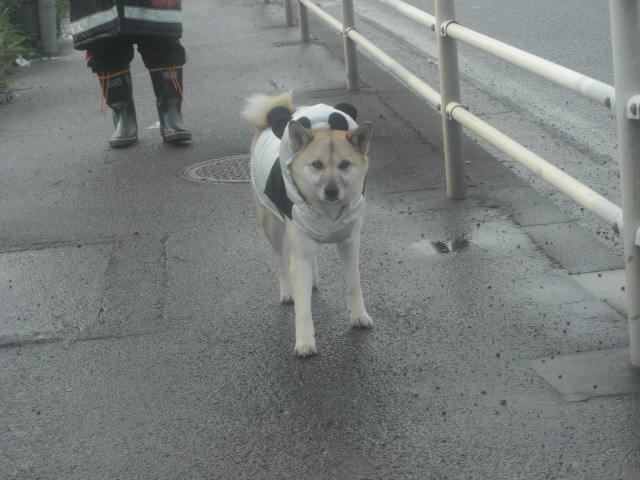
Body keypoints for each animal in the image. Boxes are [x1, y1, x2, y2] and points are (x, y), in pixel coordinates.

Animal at [242, 91, 373, 356]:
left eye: (345, 164)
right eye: (317, 165)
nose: (331, 191)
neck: (328, 213)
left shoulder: (349, 243)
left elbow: (354, 285)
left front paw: (358, 316)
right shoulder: (299, 249)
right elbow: (303, 308)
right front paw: (304, 341)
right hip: (271, 224)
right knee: (280, 259)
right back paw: (287, 290)